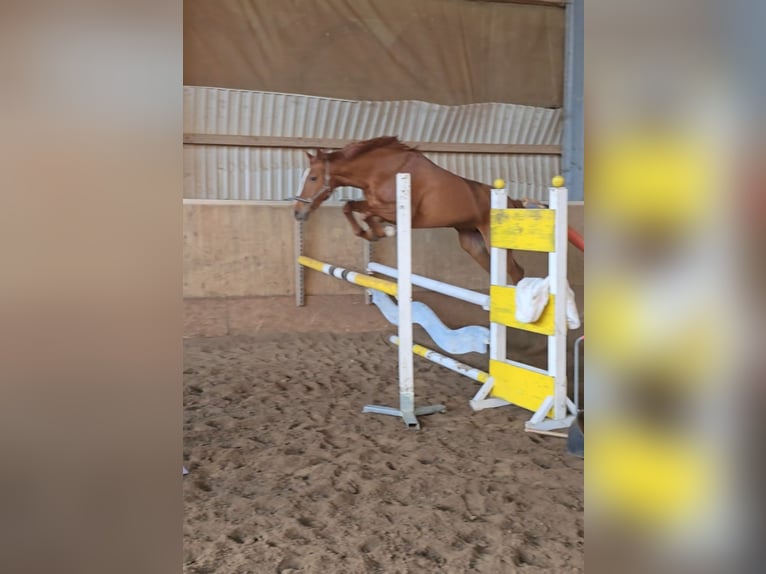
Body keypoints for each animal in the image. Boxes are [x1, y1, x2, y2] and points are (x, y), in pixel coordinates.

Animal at [293, 136, 526, 284]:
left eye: (313, 178)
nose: (297, 212)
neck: (383, 171)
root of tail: (511, 201)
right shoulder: (374, 203)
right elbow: (350, 207)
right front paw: (369, 233)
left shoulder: (400, 212)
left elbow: (367, 214)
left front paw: (384, 231)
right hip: (473, 243)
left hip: (494, 240)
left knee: (517, 272)